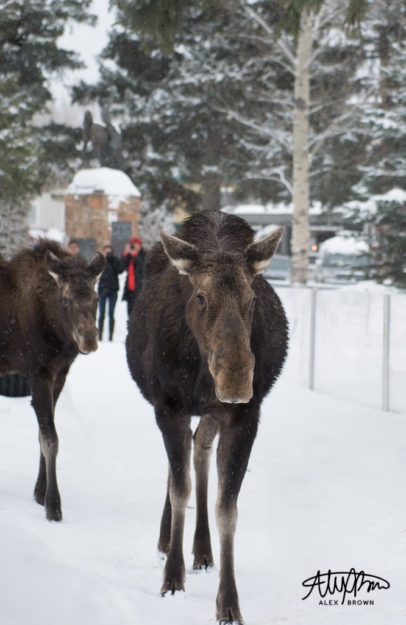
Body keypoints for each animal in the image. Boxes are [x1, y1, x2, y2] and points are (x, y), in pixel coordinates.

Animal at [0, 241, 104, 520]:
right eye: (66, 299)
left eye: (95, 298)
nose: (89, 340)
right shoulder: (39, 373)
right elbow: (50, 439)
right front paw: (53, 504)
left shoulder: (59, 375)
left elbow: (42, 434)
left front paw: (39, 492)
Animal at [127, 212, 288, 620]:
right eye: (200, 297)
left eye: (252, 298)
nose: (236, 382)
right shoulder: (168, 405)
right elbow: (179, 488)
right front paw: (172, 578)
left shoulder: (244, 417)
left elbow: (226, 509)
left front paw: (228, 603)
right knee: (181, 464)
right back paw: (168, 541)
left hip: (211, 414)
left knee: (199, 450)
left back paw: (201, 551)